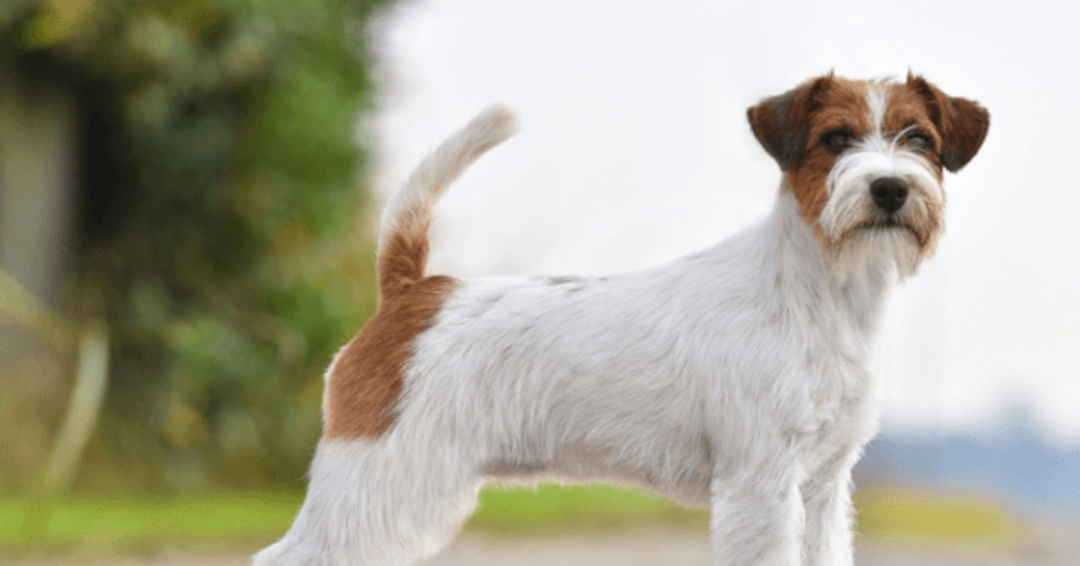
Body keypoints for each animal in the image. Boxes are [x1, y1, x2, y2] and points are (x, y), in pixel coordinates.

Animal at [252, 72, 989, 561]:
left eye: (919, 138)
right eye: (836, 139)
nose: (888, 188)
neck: (818, 294)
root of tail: (412, 291)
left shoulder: (823, 488)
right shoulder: (762, 486)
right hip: (378, 480)